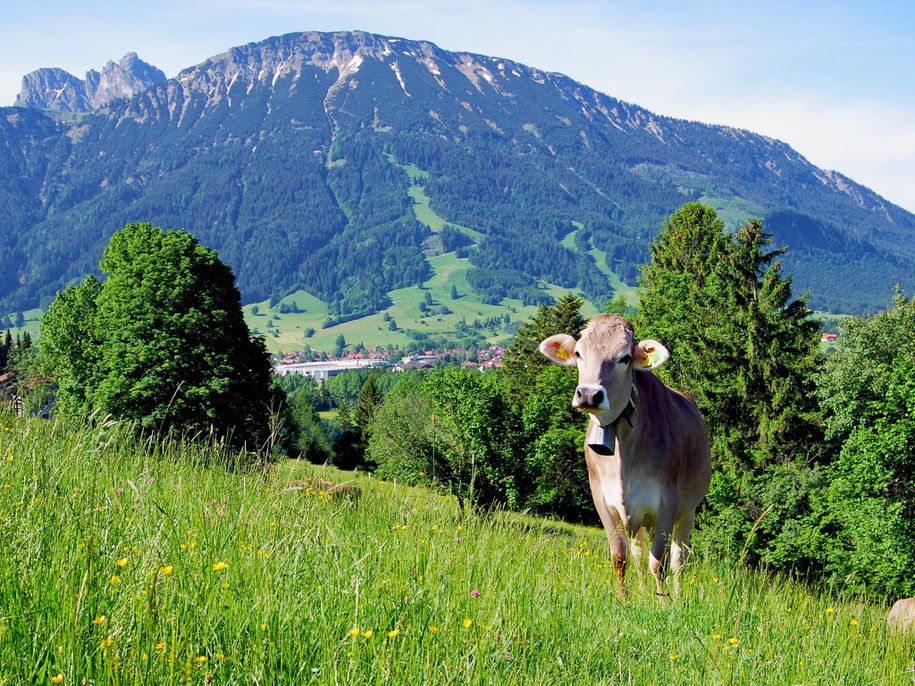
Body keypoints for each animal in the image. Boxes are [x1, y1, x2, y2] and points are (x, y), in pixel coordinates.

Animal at [540, 314, 712, 600]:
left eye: (625, 357)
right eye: (578, 353)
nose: (589, 394)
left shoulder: (668, 501)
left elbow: (659, 562)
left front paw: (664, 602)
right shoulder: (601, 497)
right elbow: (621, 557)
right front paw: (624, 600)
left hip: (688, 511)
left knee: (679, 559)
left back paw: (676, 596)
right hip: (638, 519)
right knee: (638, 553)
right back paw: (642, 591)